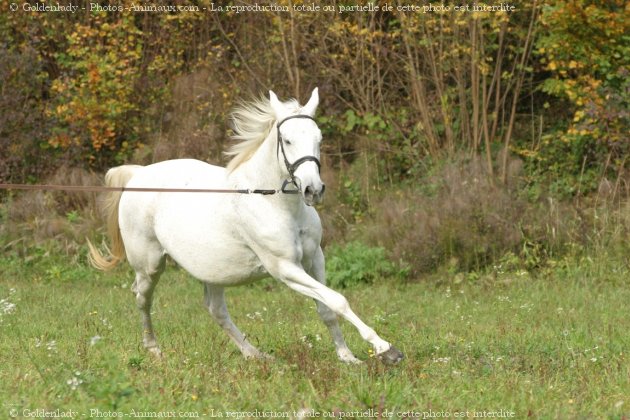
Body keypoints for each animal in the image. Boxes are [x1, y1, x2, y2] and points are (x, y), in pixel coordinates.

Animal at [89, 88, 404, 364]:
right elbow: (338, 300)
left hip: (212, 270)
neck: (273, 202)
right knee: (142, 299)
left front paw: (348, 357)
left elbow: (326, 308)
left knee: (216, 311)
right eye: (287, 140)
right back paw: (155, 351)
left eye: (319, 138)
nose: (313, 190)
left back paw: (257, 355)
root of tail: (137, 175)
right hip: (150, 265)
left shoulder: (315, 258)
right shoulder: (285, 269)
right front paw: (386, 349)